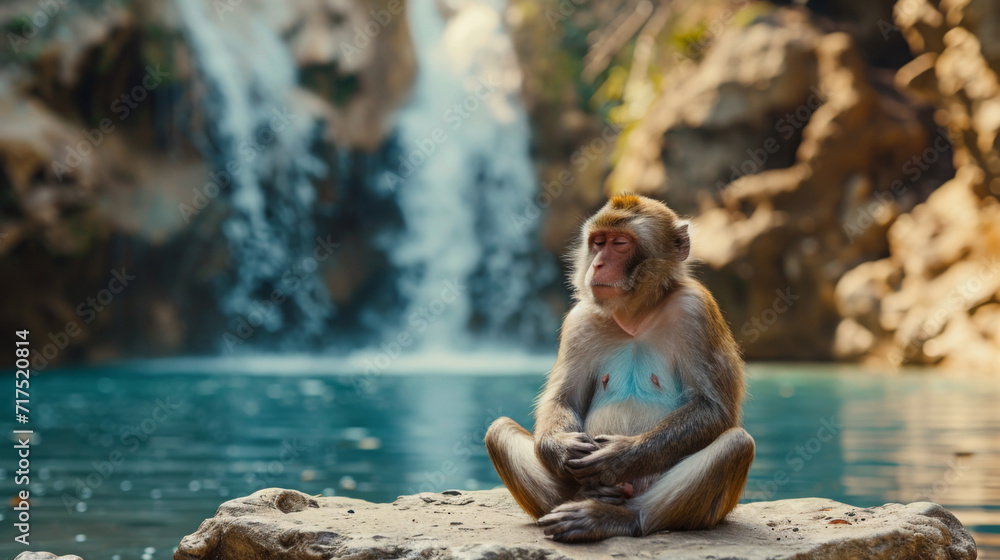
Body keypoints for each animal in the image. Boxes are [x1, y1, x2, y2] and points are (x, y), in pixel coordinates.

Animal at [484, 193, 755, 542]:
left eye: (621, 243)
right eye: (598, 242)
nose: (598, 263)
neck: (635, 317)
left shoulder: (696, 310)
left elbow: (714, 408)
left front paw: (618, 456)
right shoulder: (580, 321)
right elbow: (564, 399)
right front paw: (562, 449)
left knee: (737, 444)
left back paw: (614, 517)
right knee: (498, 430)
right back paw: (583, 501)